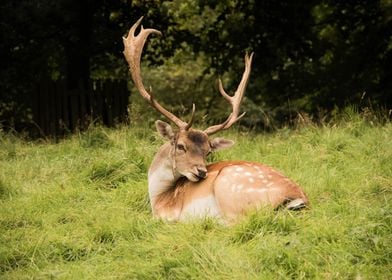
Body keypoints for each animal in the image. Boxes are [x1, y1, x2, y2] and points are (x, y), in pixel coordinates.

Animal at [123, 17, 310, 223]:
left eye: (208, 152)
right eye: (180, 146)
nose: (201, 172)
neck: (158, 197)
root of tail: (298, 198)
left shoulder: (167, 214)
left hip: (229, 186)